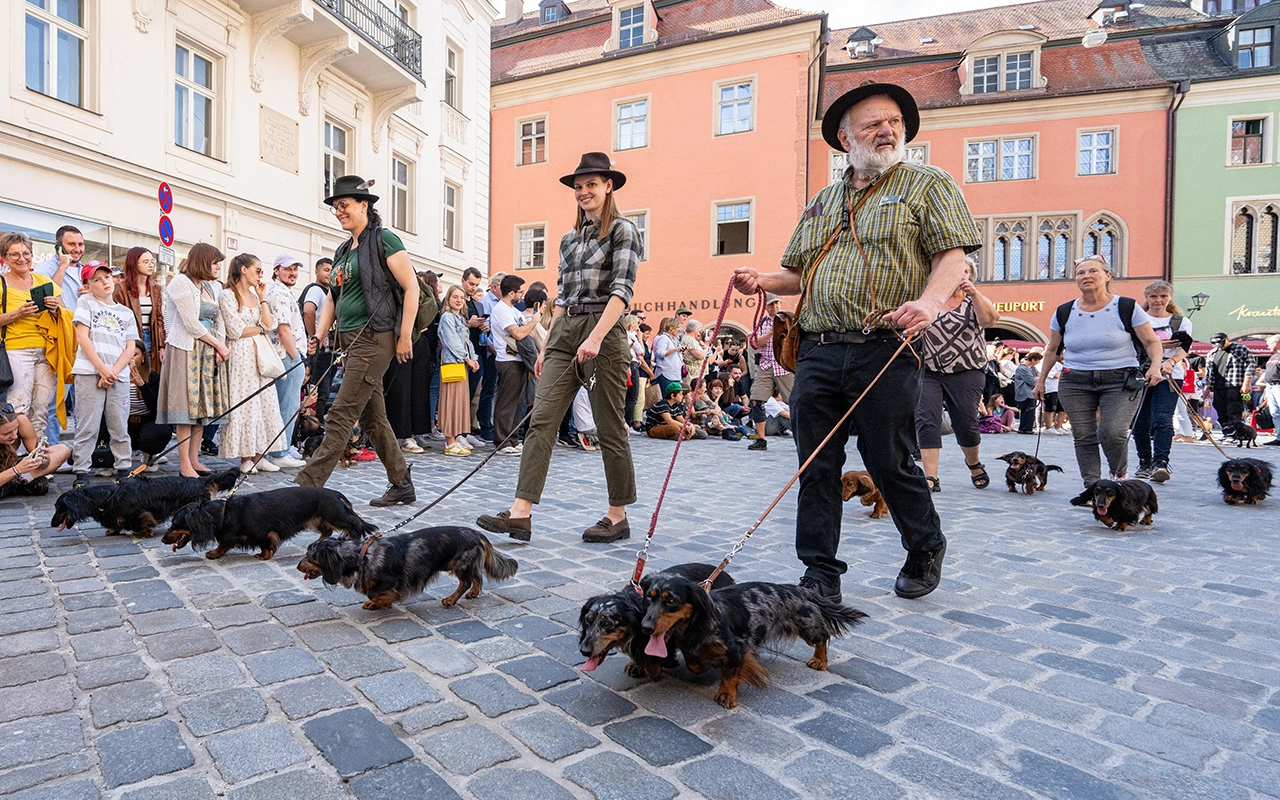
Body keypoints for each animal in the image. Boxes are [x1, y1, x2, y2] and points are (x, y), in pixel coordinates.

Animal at [162, 483, 376, 558]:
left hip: (334, 516)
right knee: (327, 532)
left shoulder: (264, 533)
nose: (163, 540)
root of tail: (336, 494)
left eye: (174, 524)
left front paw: (263, 555)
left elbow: (265, 544)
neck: (224, 513)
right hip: (318, 519)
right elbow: (224, 543)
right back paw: (315, 544)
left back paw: (352, 541)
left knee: (353, 526)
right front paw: (215, 552)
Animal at [296, 527, 517, 609]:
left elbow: (375, 592)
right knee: (477, 577)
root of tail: (477, 533)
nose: (297, 566)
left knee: (466, 581)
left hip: (460, 564)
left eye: (310, 556)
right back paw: (473, 593)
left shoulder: (392, 581)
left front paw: (379, 602)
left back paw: (451, 600)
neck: (362, 557)